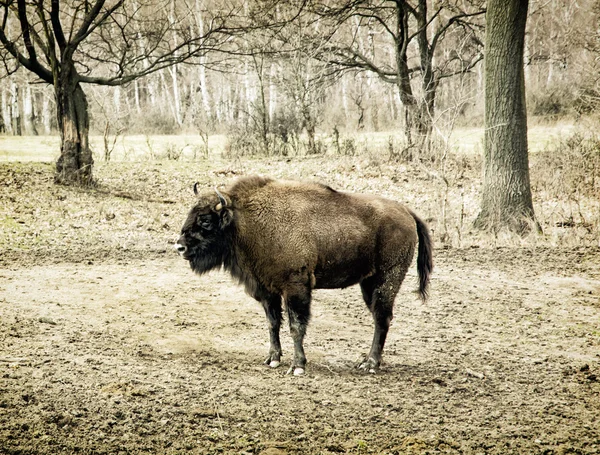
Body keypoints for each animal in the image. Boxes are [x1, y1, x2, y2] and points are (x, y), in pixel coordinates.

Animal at [173, 176, 432, 376]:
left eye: (206, 220)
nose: (180, 246)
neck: (246, 220)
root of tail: (406, 212)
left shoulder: (295, 288)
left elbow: (296, 326)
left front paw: (297, 366)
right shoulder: (267, 290)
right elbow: (273, 323)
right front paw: (272, 359)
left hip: (387, 279)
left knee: (382, 318)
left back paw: (370, 364)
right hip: (368, 283)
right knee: (381, 318)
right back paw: (366, 362)